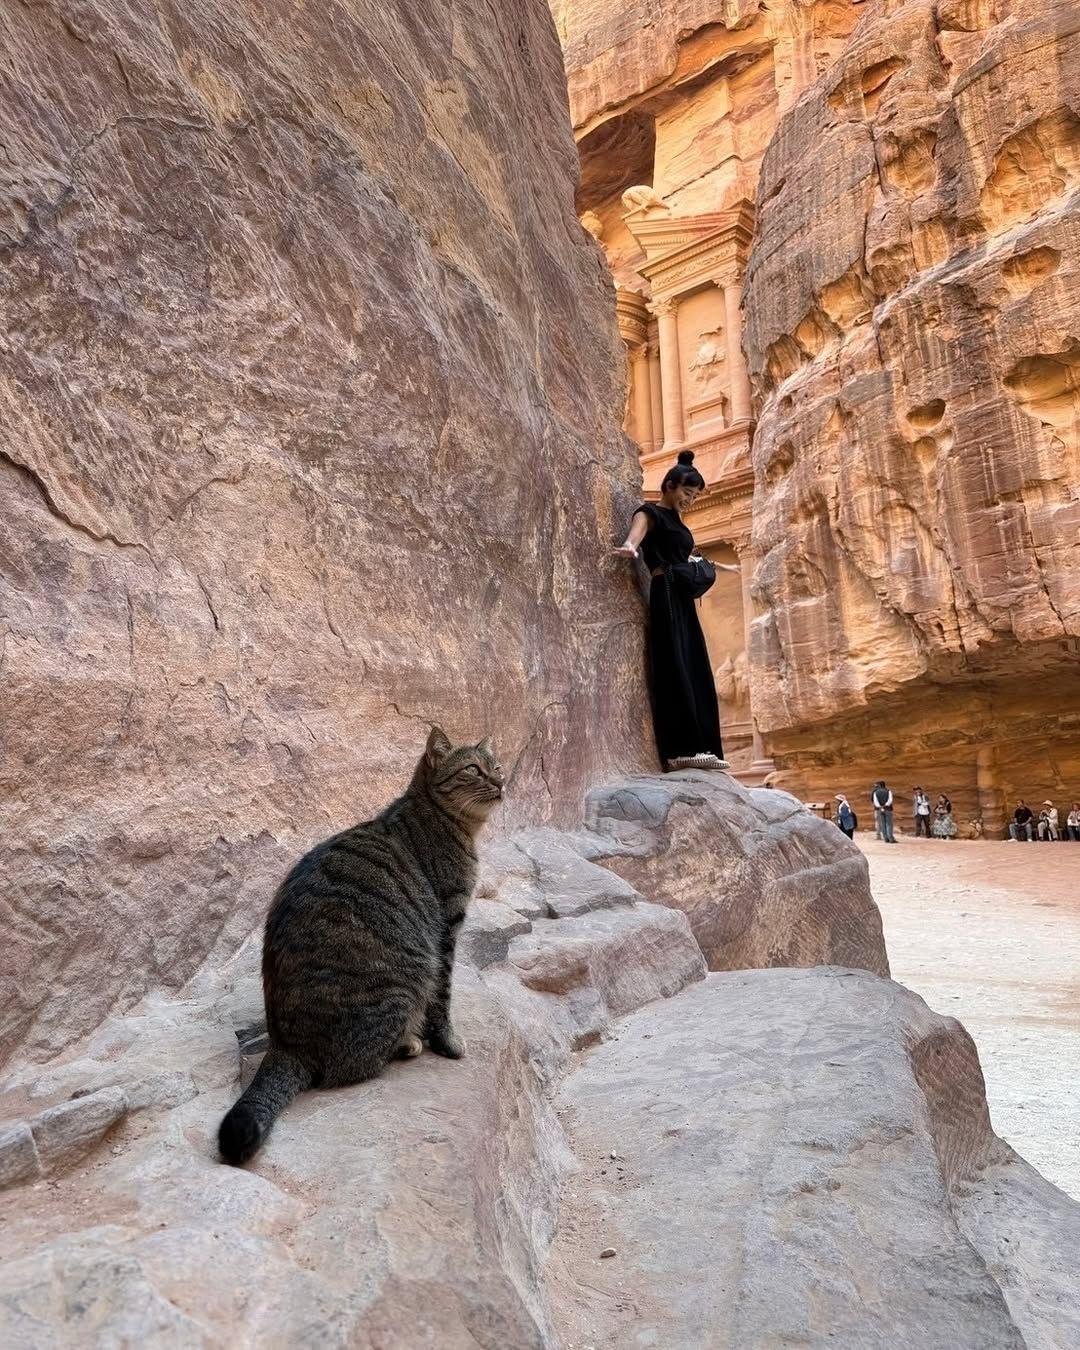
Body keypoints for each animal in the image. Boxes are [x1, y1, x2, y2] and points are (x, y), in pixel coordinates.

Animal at [221, 729, 507, 1161]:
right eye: (474, 770)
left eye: (498, 766)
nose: (501, 782)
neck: (442, 819)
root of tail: (285, 1045)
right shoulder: (446, 929)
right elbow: (442, 1002)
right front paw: (447, 1042)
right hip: (406, 979)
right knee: (352, 1068)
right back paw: (406, 1043)